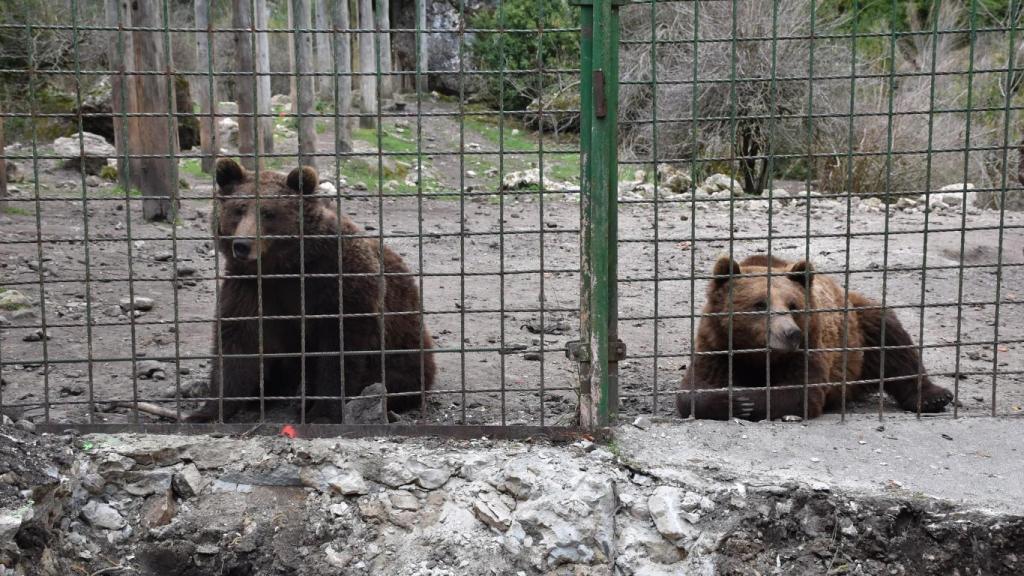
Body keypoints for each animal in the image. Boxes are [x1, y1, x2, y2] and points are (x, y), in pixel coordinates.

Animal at [187, 158, 436, 422]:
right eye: (238, 210)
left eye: (269, 213)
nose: (242, 245)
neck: (286, 267)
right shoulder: (250, 288)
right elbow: (238, 343)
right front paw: (208, 411)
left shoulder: (338, 282)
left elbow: (339, 349)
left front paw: (322, 411)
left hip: (404, 348)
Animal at [677, 254, 954, 420]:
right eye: (759, 304)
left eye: (793, 305)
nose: (790, 333)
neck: (755, 354)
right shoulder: (716, 345)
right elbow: (693, 390)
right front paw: (735, 399)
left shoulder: (807, 346)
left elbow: (798, 392)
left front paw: (748, 400)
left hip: (858, 326)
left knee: (892, 339)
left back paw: (934, 396)